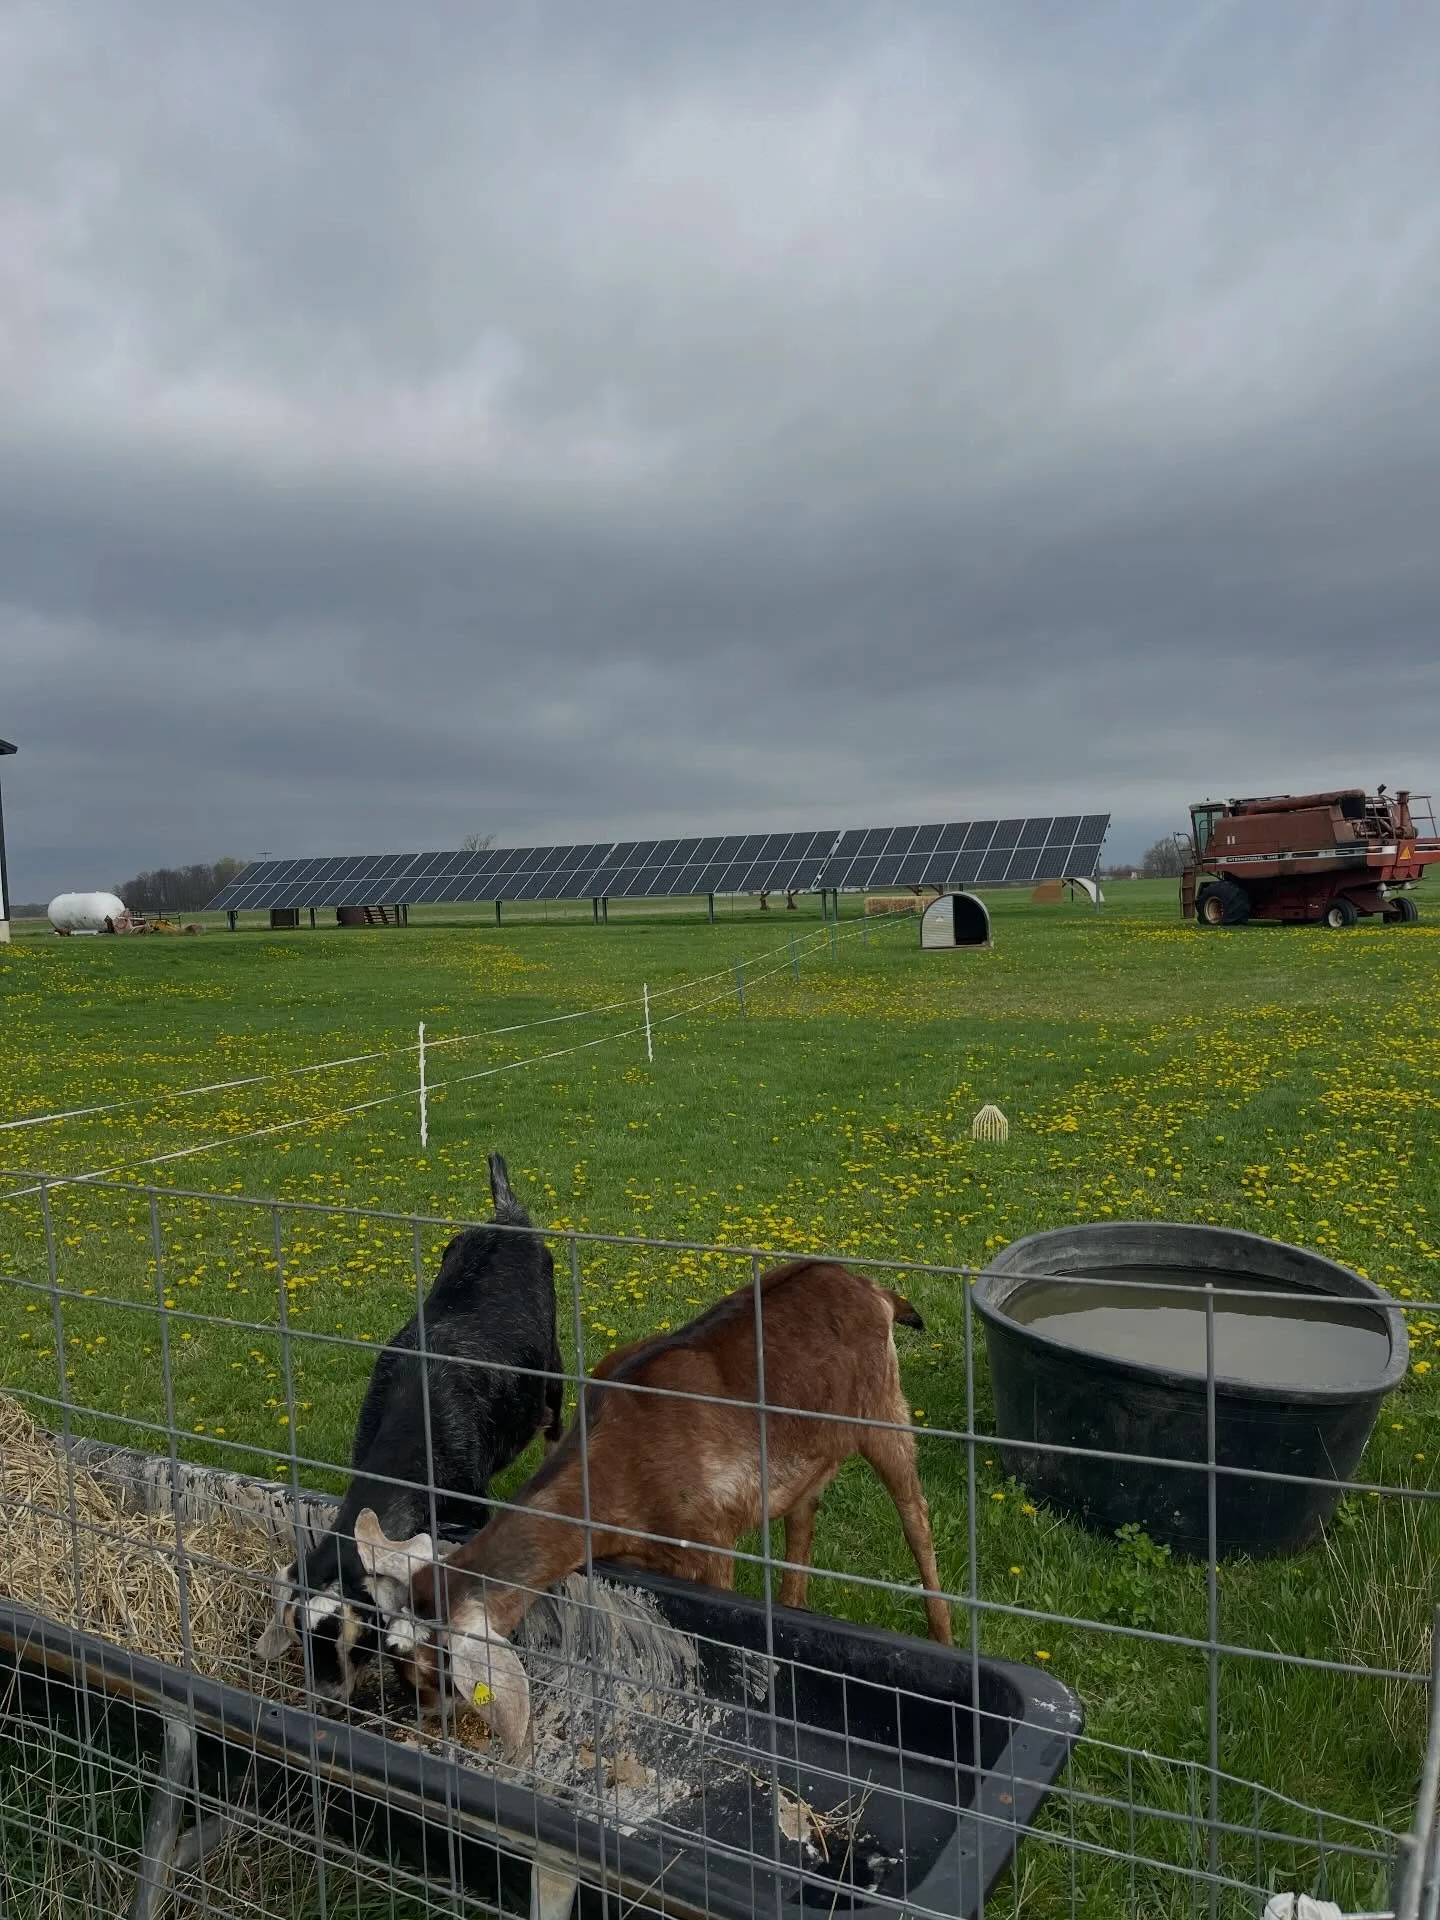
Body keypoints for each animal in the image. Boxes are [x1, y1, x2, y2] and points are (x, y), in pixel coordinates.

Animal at [354, 1258, 951, 1755]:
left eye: (436, 1675)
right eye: (395, 1658)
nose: (420, 1716)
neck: (618, 1475)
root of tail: (873, 1287)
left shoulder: (712, 1540)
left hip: (885, 1408)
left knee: (916, 1517)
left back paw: (942, 1636)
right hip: (811, 1450)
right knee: (804, 1515)